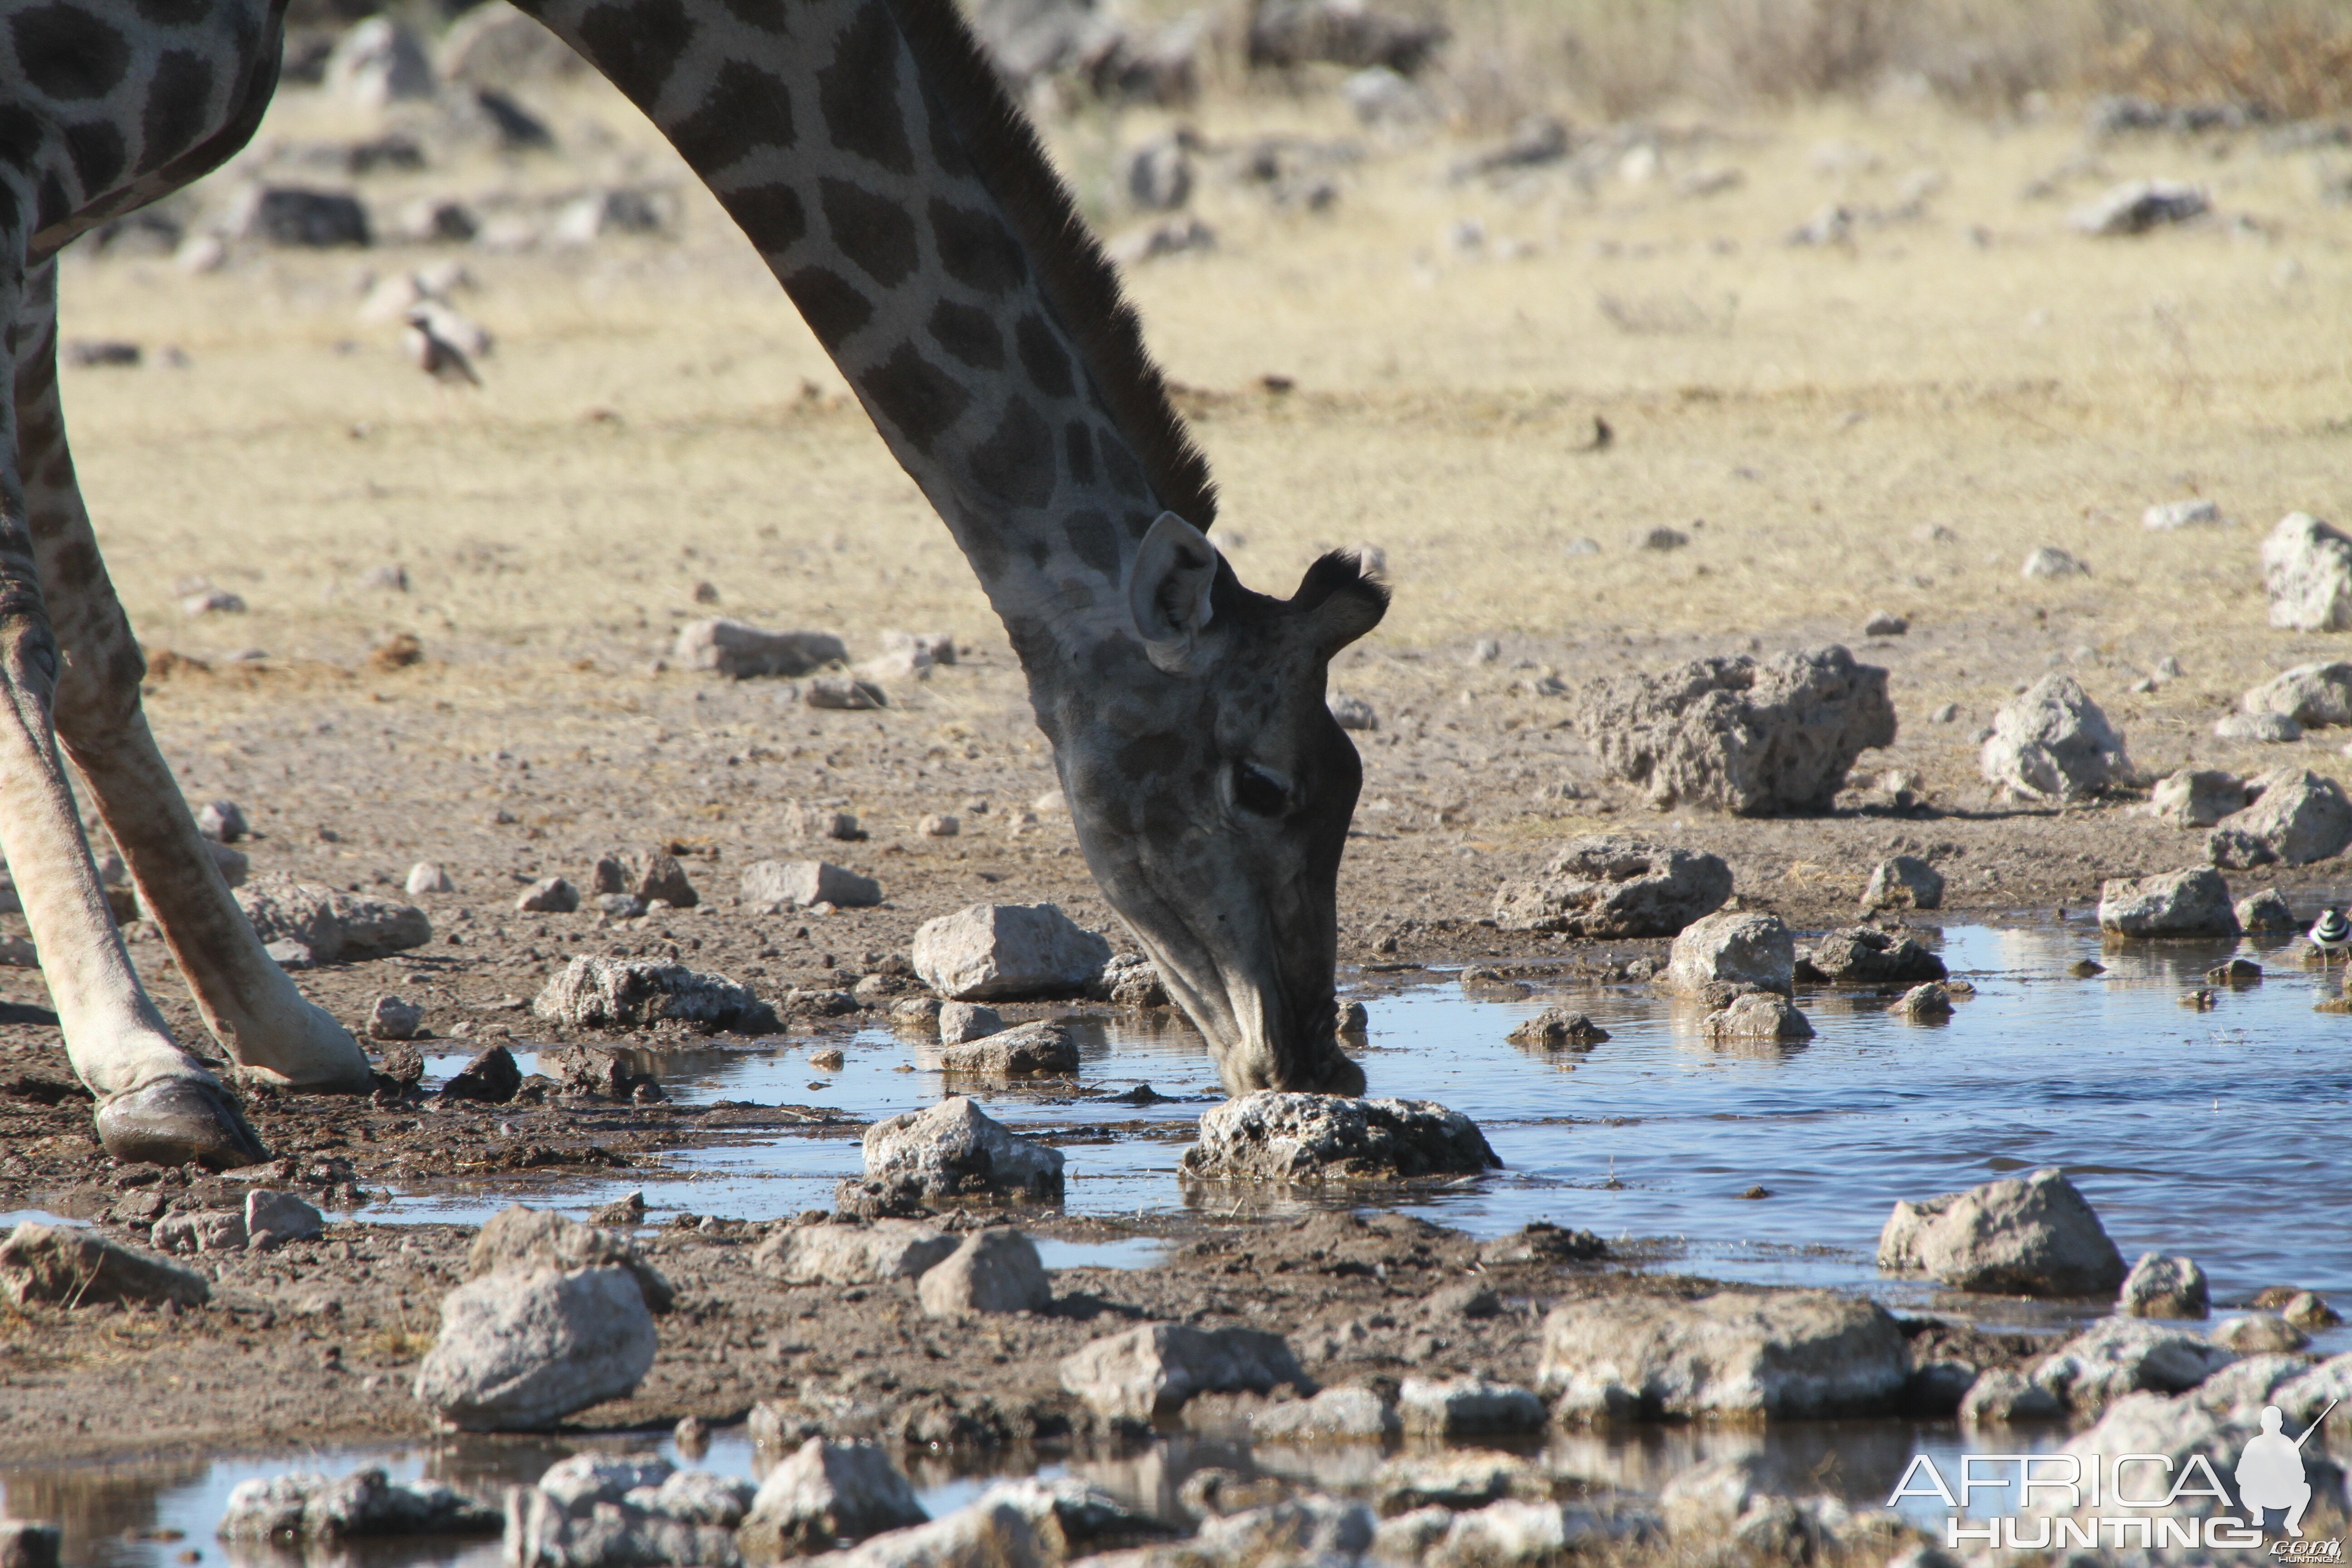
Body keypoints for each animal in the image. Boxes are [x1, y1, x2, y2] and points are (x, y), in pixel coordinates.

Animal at [0, 0, 1383, 1166]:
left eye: (1348, 779)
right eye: (1264, 783)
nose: (1309, 1058)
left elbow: (100, 639)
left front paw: (283, 1034)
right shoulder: (30, 151)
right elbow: (27, 624)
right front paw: (151, 1071)